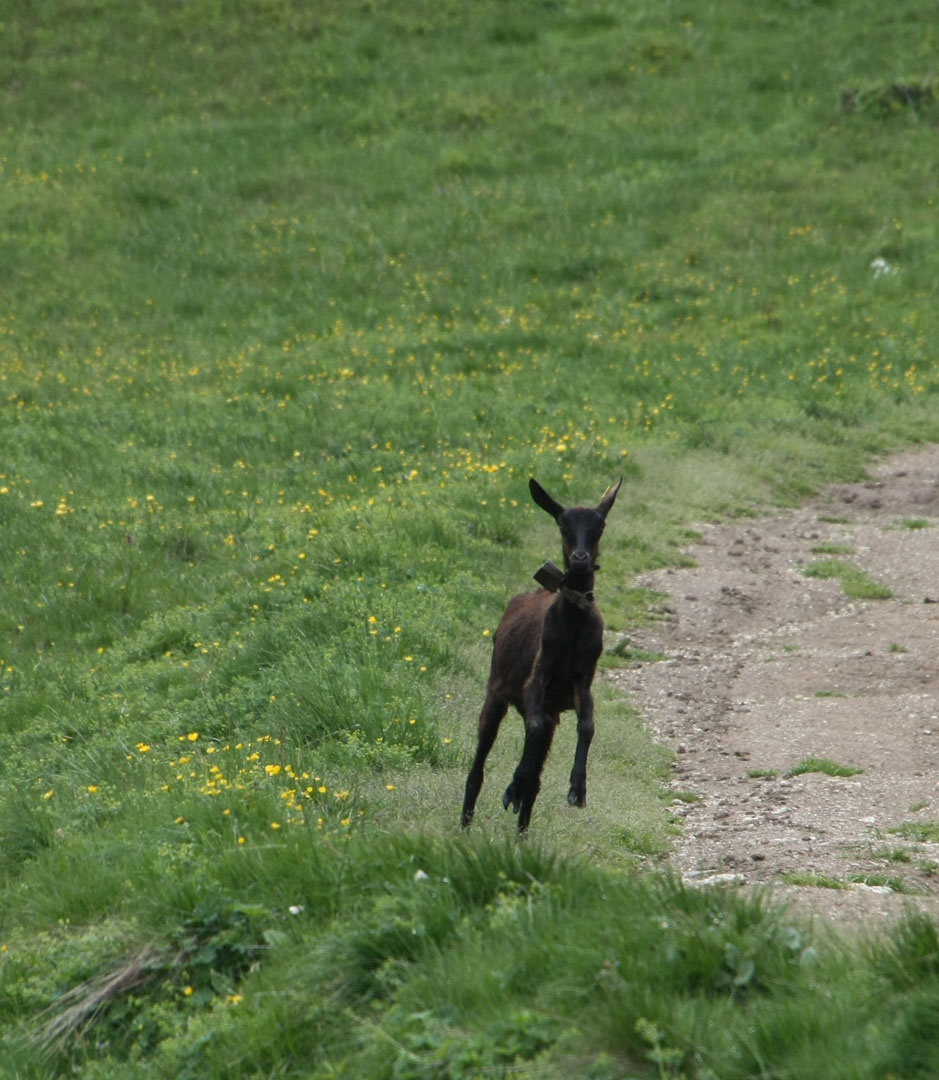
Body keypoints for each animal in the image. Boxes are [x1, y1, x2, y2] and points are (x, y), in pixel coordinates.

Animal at [462, 477, 622, 829]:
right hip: (496, 692)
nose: (580, 558)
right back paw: (466, 823)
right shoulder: (538, 675)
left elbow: (587, 725)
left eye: (600, 525)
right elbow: (534, 725)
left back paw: (522, 821)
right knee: (479, 763)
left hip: (549, 708)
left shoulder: (582, 682)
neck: (572, 625)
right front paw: (513, 787)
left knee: (537, 763)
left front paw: (577, 789)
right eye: (562, 524)